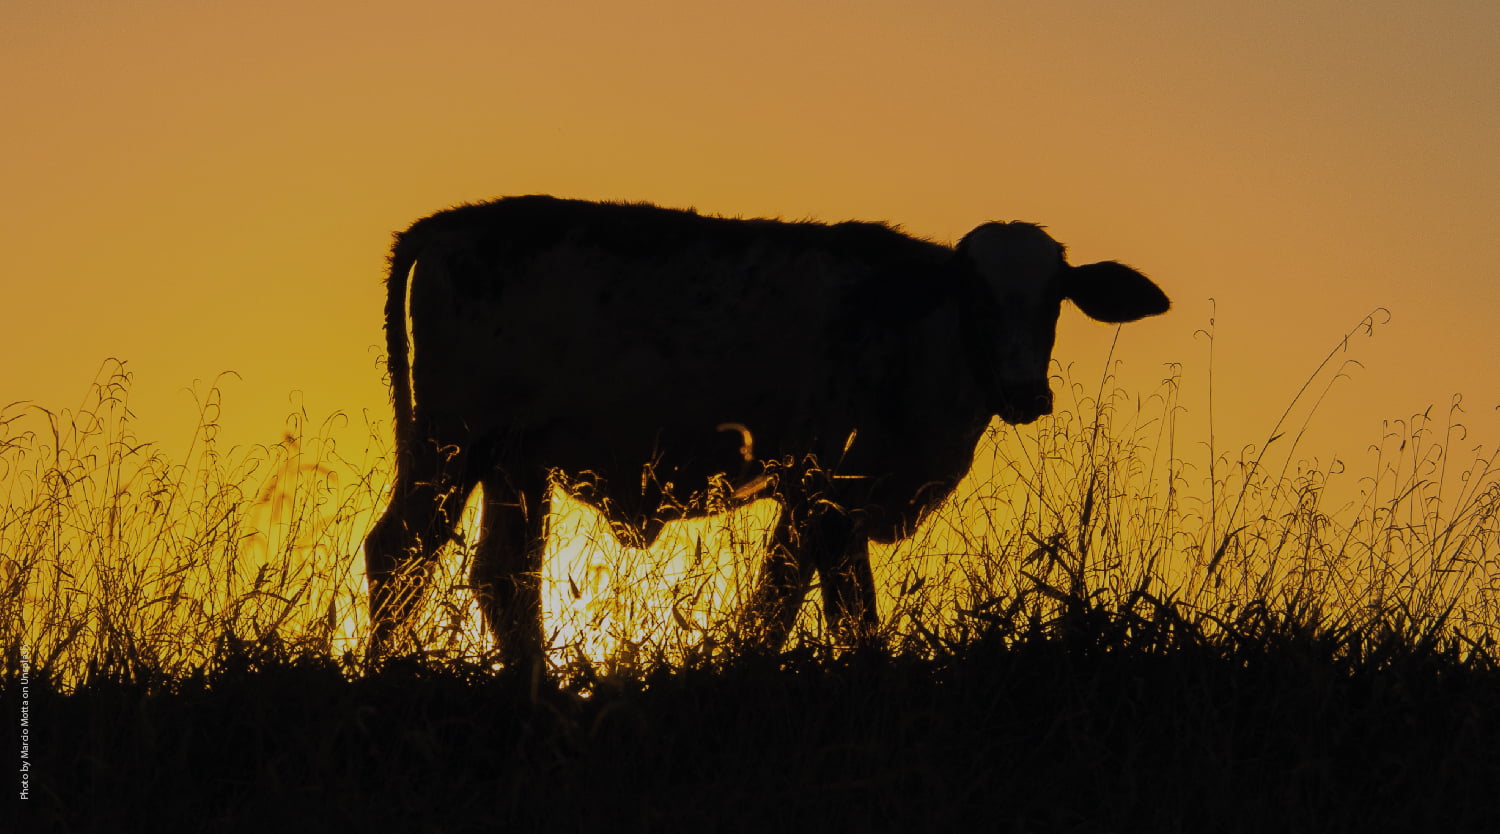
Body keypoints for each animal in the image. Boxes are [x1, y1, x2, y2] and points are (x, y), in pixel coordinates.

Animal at [363, 196, 1170, 666]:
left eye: (1056, 298)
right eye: (975, 296)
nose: (1024, 390)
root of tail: (452, 222)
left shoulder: (816, 498)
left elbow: (778, 600)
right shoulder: (829, 491)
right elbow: (835, 612)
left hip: (514, 459)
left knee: (503, 579)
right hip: (452, 440)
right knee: (398, 551)